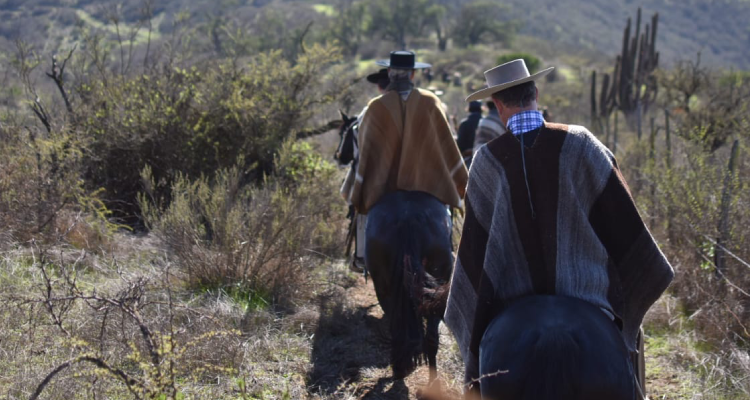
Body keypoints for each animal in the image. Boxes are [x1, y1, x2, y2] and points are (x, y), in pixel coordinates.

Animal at [364, 191, 452, 382]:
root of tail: (408, 218)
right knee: (430, 336)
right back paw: (430, 381)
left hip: (383, 287)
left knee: (399, 329)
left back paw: (400, 369)